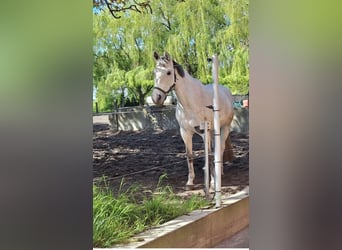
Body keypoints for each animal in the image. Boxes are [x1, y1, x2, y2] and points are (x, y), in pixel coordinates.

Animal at [152, 51, 235, 190]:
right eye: (154, 72)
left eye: (168, 72)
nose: (156, 98)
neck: (191, 103)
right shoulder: (185, 133)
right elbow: (189, 156)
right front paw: (190, 182)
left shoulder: (204, 132)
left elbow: (209, 155)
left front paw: (212, 182)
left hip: (225, 128)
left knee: (220, 148)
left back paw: (219, 172)